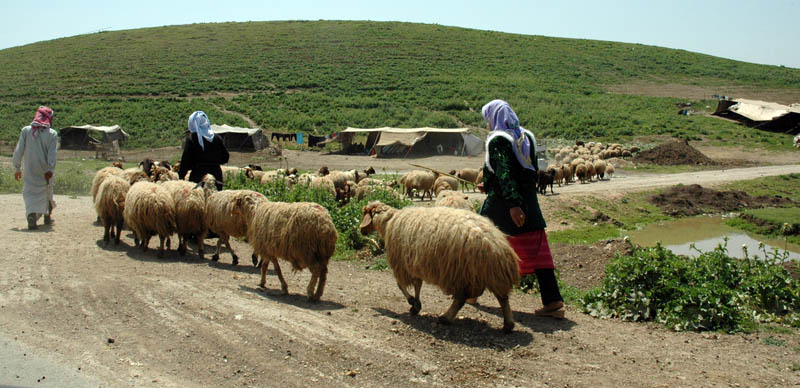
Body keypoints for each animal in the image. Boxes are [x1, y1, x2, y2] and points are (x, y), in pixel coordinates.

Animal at [360, 200, 520, 334]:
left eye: (364, 212)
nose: (361, 231)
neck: (389, 222)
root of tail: (498, 247)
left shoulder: (402, 265)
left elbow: (401, 285)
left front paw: (413, 303)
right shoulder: (414, 263)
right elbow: (418, 285)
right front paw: (416, 305)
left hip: (462, 272)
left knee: (461, 299)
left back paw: (446, 318)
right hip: (491, 274)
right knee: (503, 298)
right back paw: (508, 324)